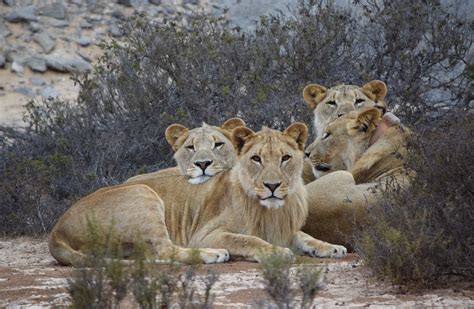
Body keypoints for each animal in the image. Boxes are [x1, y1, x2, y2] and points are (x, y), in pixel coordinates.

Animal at [48, 121, 346, 264]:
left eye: (285, 158)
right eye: (256, 159)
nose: (272, 186)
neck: (272, 210)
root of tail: (56, 231)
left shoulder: (284, 228)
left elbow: (305, 236)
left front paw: (329, 247)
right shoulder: (206, 233)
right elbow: (248, 240)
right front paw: (275, 252)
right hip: (143, 194)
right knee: (166, 251)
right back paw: (212, 255)